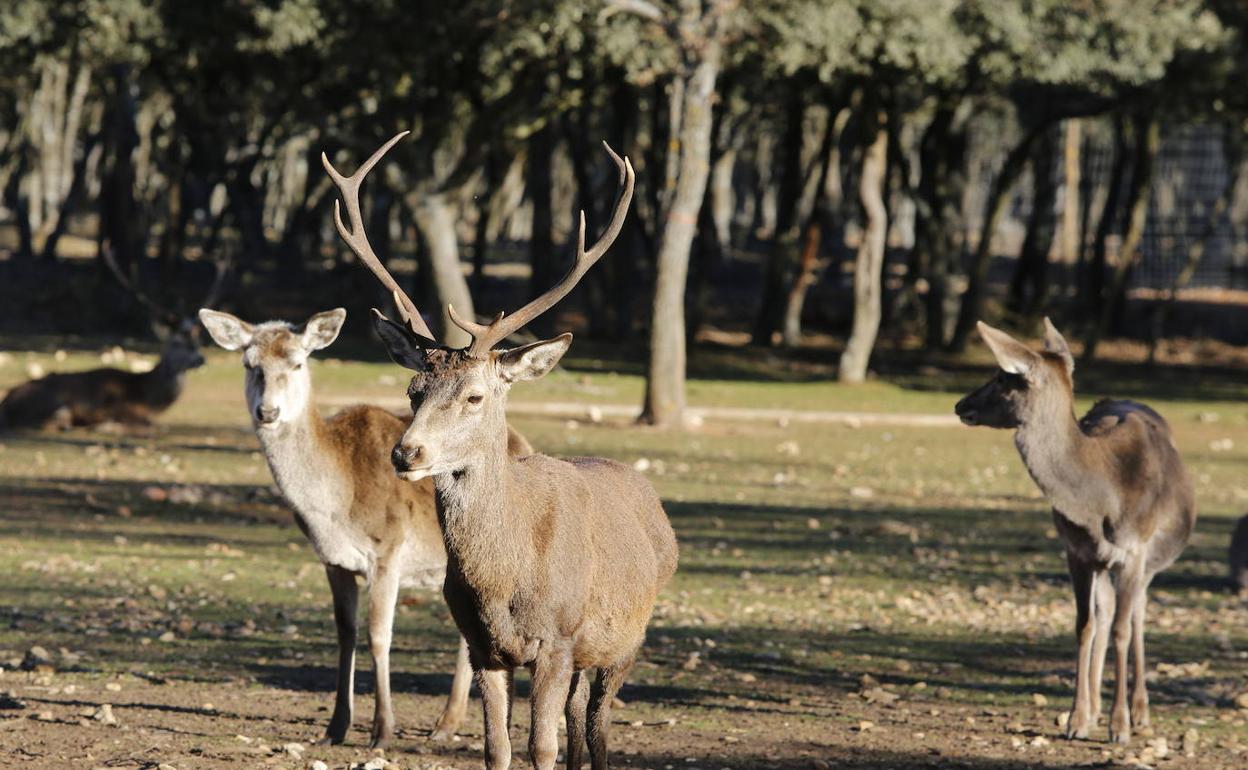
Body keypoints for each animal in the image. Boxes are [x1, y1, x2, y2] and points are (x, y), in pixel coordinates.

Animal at [1, 248, 224, 429]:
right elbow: (153, 425)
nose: (201, 359)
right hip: (55, 402)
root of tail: (5, 405)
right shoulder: (123, 408)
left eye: (198, 341)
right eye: (177, 342)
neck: (147, 396)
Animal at [194, 305, 531, 743]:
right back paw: (449, 721)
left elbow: (378, 635)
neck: (335, 507)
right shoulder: (332, 560)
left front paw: (382, 728)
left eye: (297, 362)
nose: (267, 412)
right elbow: (345, 633)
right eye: (250, 364)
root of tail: (522, 441)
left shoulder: (388, 551)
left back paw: (446, 723)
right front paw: (335, 727)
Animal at [319, 132, 673, 768]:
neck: (503, 584)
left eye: (475, 396)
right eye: (412, 389)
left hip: (625, 637)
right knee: (580, 724)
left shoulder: (557, 640)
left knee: (598, 727)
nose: (407, 453)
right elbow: (497, 749)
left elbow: (541, 748)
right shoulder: (484, 647)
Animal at [953, 315, 1198, 743]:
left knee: (1136, 614)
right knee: (1106, 612)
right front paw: (1077, 719)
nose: (960, 405)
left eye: (1002, 377)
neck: (1102, 502)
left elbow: (1121, 630)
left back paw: (1140, 712)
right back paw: (1097, 710)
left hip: (1152, 562)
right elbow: (1084, 625)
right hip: (1104, 565)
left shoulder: (1134, 551)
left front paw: (1120, 727)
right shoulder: (1077, 553)